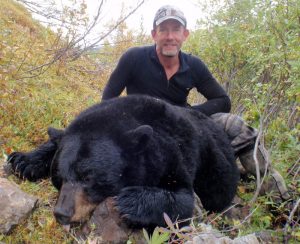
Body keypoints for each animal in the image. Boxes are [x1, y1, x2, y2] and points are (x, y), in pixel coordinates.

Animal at [7, 94, 239, 228]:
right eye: (59, 178)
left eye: (88, 178)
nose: (62, 213)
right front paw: (23, 160)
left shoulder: (174, 155)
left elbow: (184, 201)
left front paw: (130, 200)